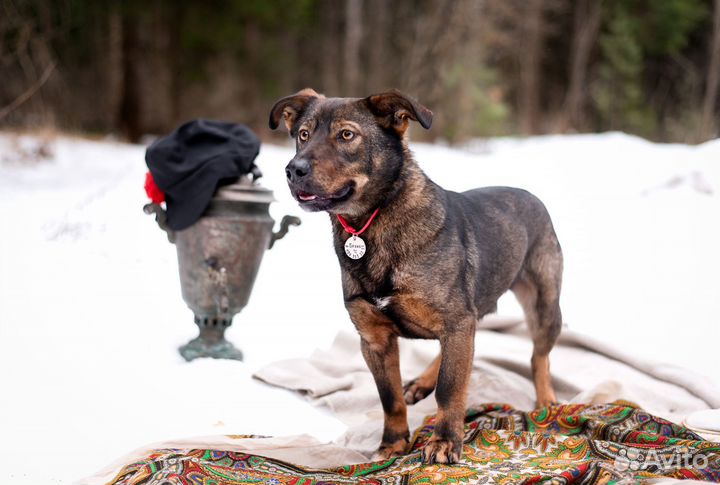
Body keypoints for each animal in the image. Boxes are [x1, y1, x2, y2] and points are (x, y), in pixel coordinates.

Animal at [270, 89, 564, 464]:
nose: (293, 170)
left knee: (538, 357)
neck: (374, 222)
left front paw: (444, 441)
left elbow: (450, 388)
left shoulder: (456, 321)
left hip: (544, 305)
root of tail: (528, 193)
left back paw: (546, 402)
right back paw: (423, 382)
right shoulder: (376, 339)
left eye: (347, 135)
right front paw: (393, 444)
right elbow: (390, 397)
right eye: (303, 135)